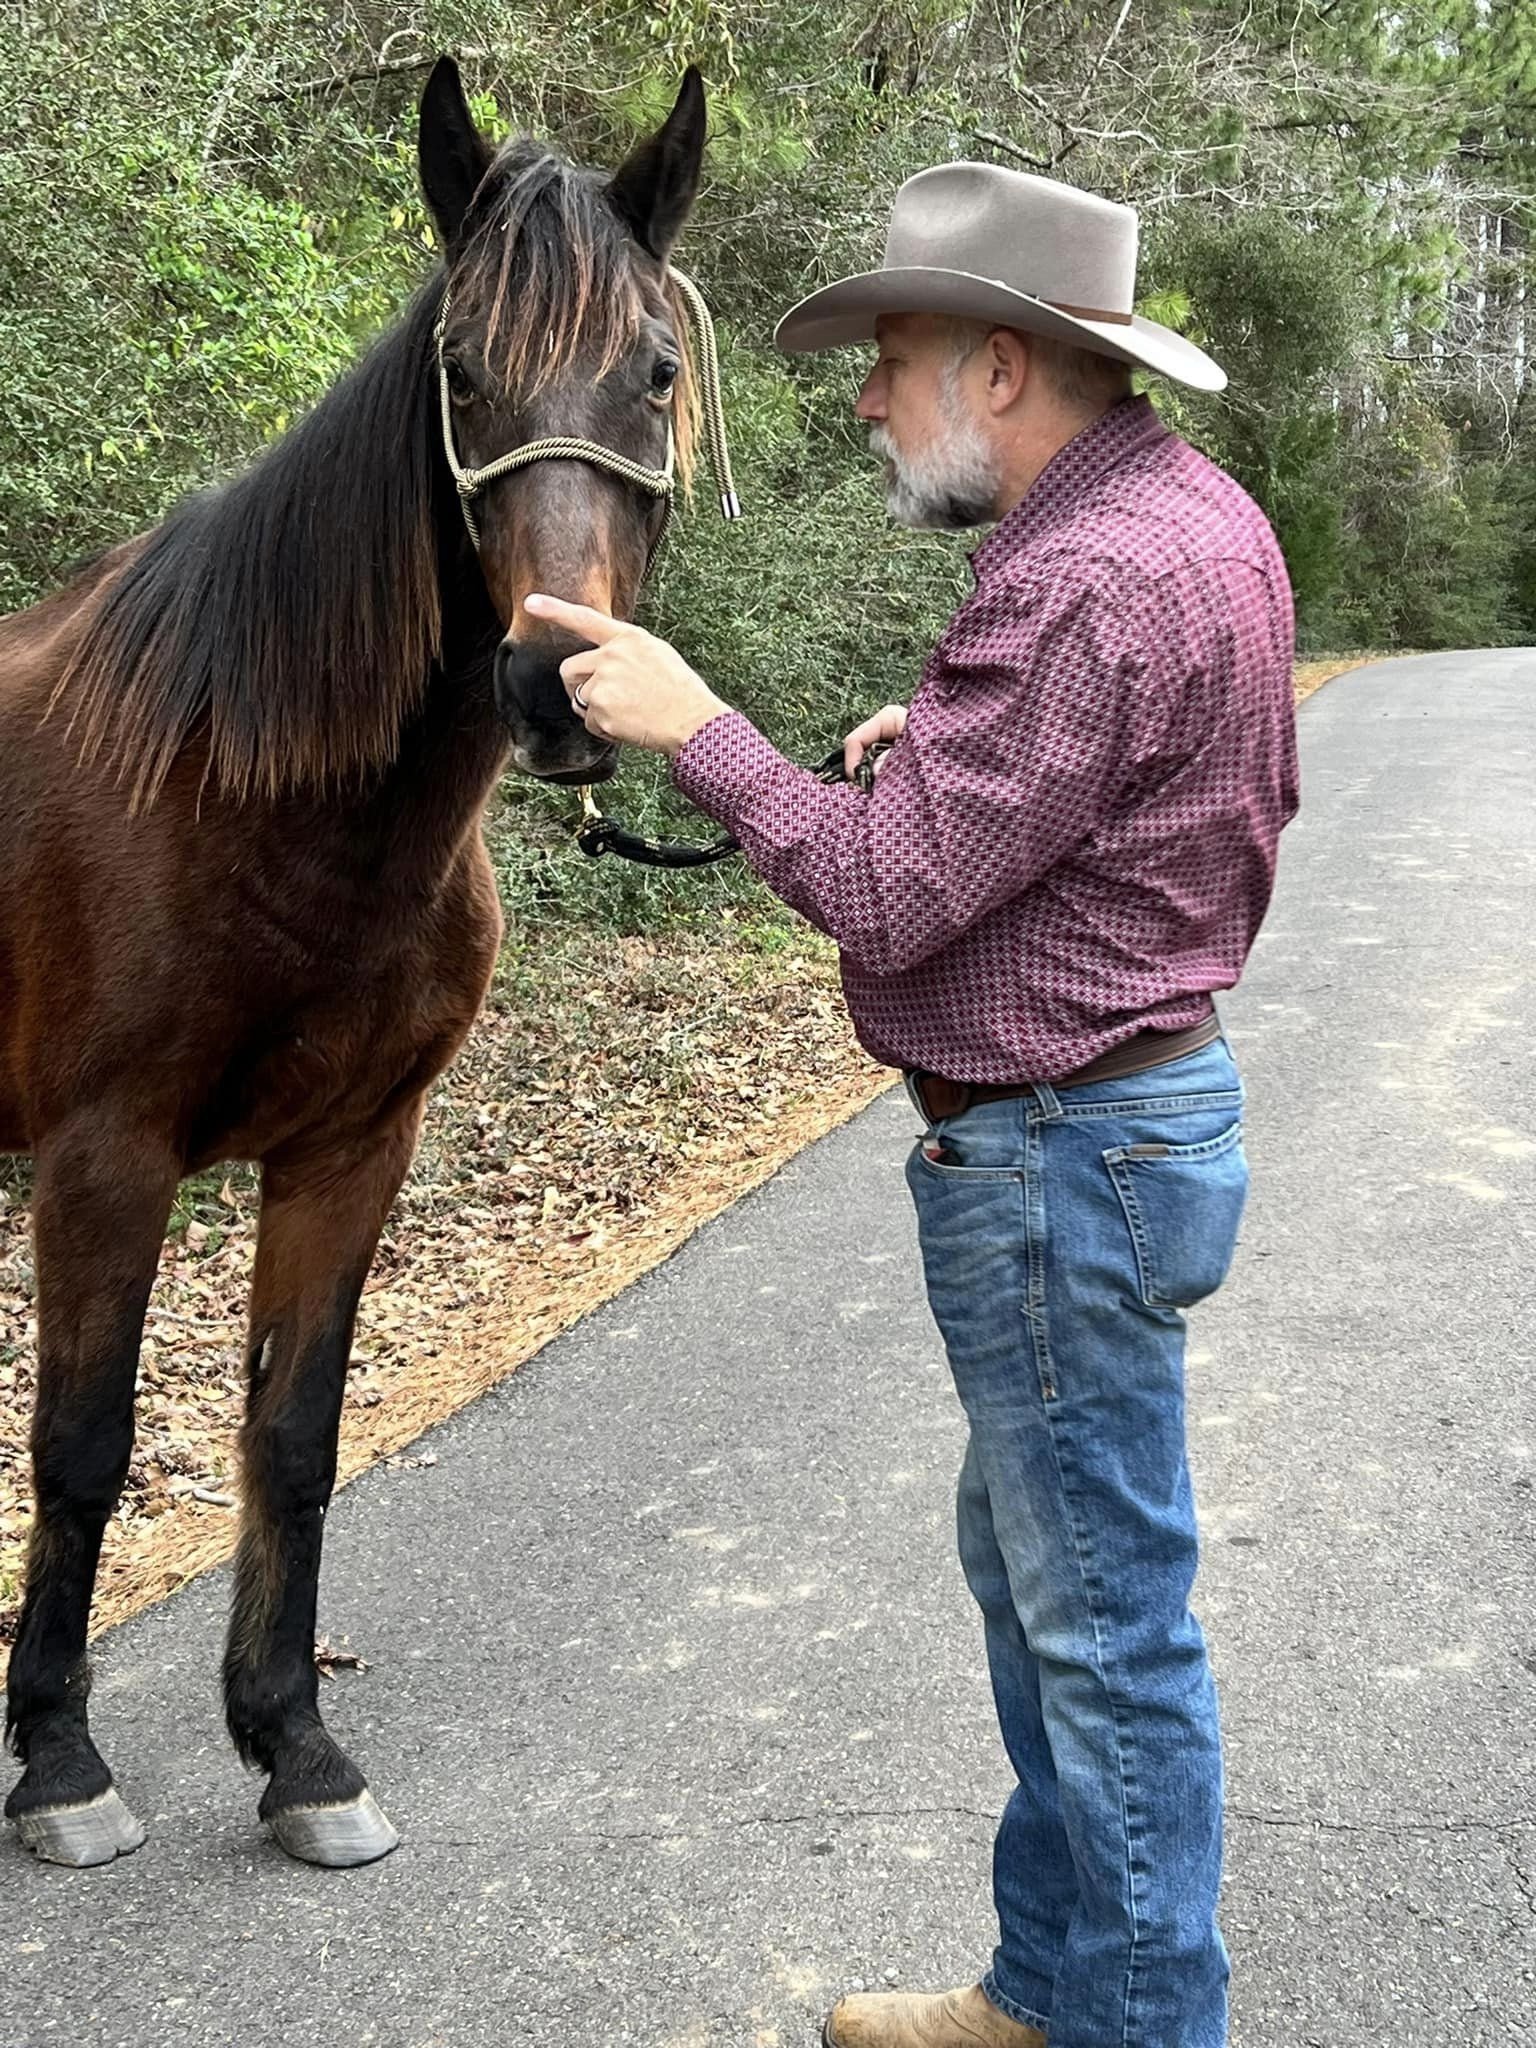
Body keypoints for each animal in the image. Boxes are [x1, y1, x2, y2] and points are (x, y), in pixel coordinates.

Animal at [0, 55, 707, 1870]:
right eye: (462, 372)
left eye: (656, 369)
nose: (556, 684)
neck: (243, 780)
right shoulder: (105, 1161)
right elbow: (84, 1449)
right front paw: (60, 1764)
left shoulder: (349, 1150)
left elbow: (292, 1436)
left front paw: (295, 1747)